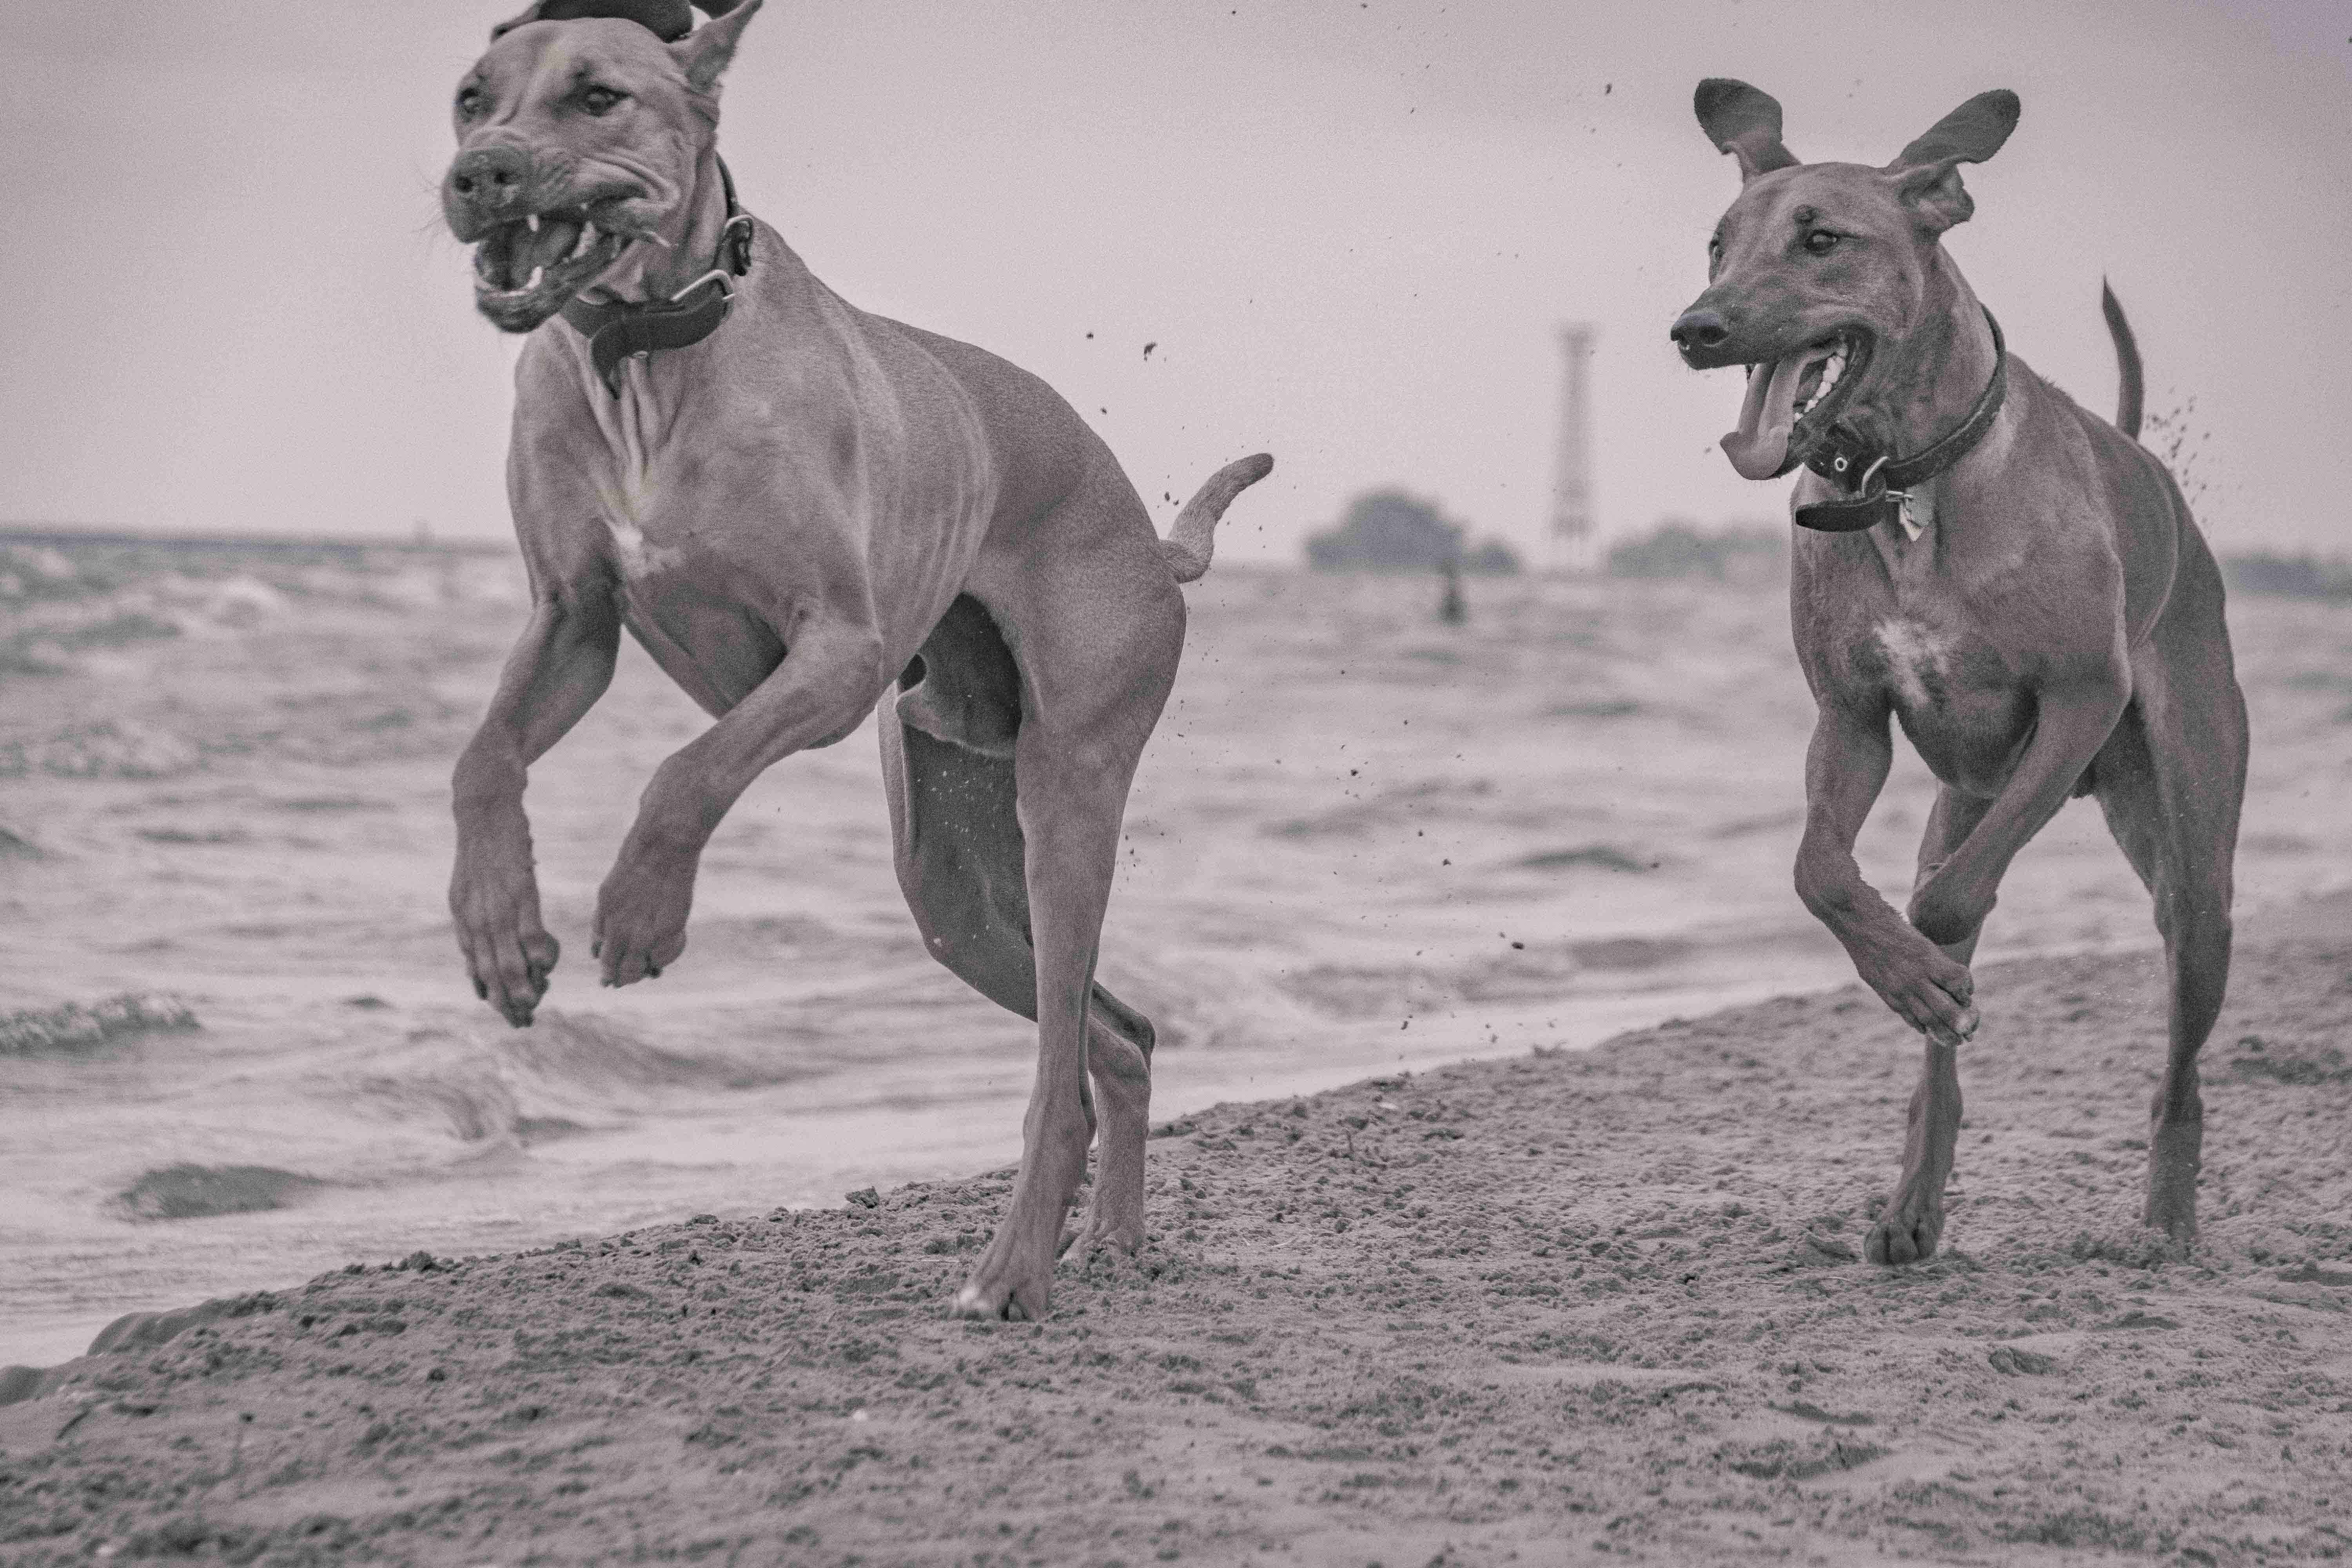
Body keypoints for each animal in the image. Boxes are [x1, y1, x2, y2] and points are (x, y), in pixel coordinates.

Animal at [435, 0, 1279, 1326]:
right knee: (1119, 1037)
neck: (646, 352)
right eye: (472, 99)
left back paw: (1012, 1270)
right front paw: (500, 935)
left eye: (597, 97)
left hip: (1067, 795)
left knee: (1058, 1073)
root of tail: (1150, 539)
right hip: (951, 890)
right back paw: (1110, 1241)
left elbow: (684, 772)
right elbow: (480, 763)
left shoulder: (837, 653)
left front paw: (636, 911)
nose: (480, 175)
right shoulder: (569, 622)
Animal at [1665, 80, 2249, 1269]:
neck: (1902, 483)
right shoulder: (1848, 721)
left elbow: (1942, 899)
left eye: (1823, 240)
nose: (1696, 328)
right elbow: (1824, 872)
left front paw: (1924, 968)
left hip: (2193, 871)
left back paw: (2166, 1218)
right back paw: (1915, 1198)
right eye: (1717, 243)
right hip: (1968, 795)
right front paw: (1908, 975)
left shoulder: (2080, 701)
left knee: (2180, 1056)